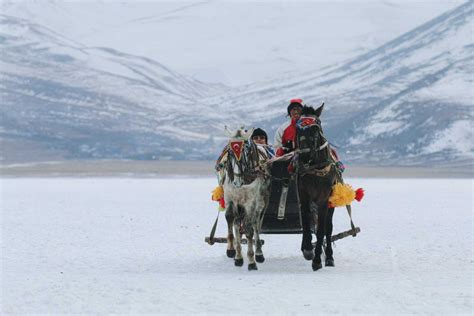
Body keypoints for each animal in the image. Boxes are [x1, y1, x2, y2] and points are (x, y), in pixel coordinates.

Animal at [221, 127, 270, 270]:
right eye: (230, 152)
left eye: (245, 151)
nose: (237, 182)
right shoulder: (231, 198)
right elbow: (231, 219)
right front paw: (234, 253)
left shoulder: (250, 202)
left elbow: (249, 228)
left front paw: (251, 260)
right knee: (238, 223)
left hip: (261, 201)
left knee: (256, 224)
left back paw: (259, 253)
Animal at [294, 104, 338, 272]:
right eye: (297, 128)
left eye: (315, 127)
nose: (304, 157)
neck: (315, 168)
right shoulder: (303, 195)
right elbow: (306, 222)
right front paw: (307, 249)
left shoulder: (324, 199)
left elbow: (321, 231)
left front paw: (317, 260)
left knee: (328, 227)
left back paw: (330, 258)